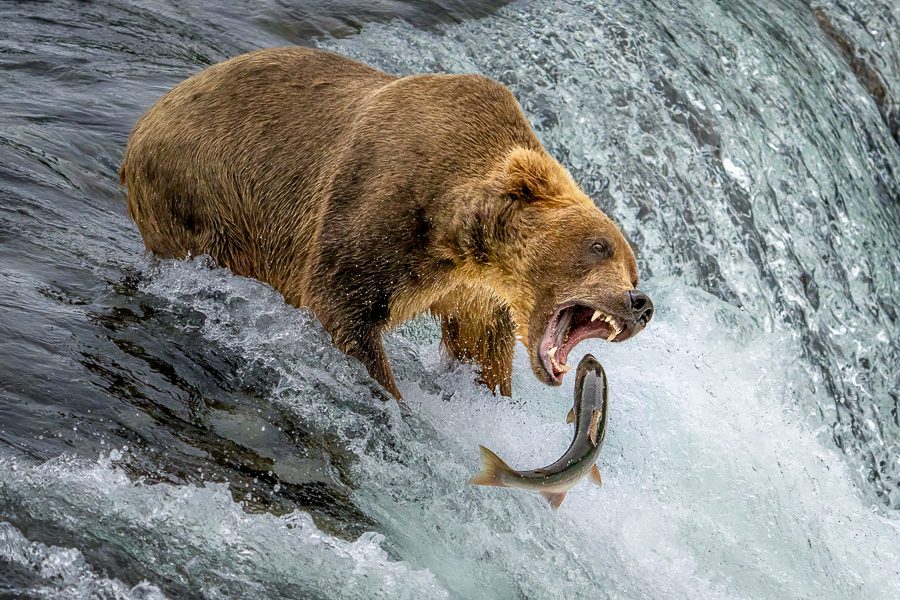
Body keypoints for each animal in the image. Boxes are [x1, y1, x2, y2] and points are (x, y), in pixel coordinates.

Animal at [121, 47, 652, 400]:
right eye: (600, 246)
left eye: (634, 268)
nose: (640, 303)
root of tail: (145, 120)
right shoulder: (381, 207)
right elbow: (343, 308)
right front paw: (392, 396)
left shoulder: (471, 290)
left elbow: (480, 346)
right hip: (208, 195)